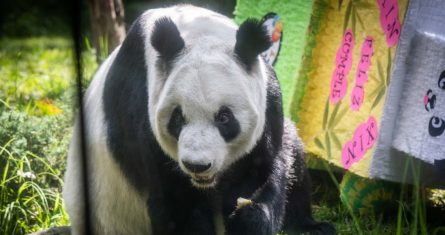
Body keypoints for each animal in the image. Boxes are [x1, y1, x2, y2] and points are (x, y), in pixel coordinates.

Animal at [61, 4, 332, 235]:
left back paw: (312, 226)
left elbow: (262, 175)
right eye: (177, 118)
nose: (197, 165)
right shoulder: (143, 109)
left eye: (224, 118)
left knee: (295, 161)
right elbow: (175, 203)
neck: (200, 34)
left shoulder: (269, 103)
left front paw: (247, 217)